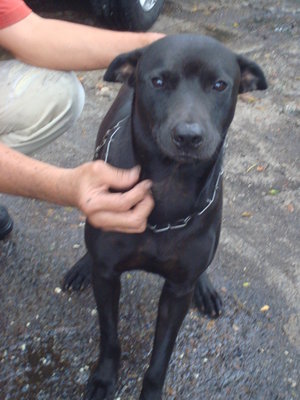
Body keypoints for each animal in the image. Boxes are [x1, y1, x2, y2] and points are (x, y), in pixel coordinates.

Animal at [63, 35, 268, 400]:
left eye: (219, 85)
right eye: (158, 81)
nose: (188, 136)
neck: (170, 186)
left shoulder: (177, 291)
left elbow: (161, 358)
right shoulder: (108, 276)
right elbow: (110, 338)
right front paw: (104, 379)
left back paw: (206, 288)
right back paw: (81, 267)